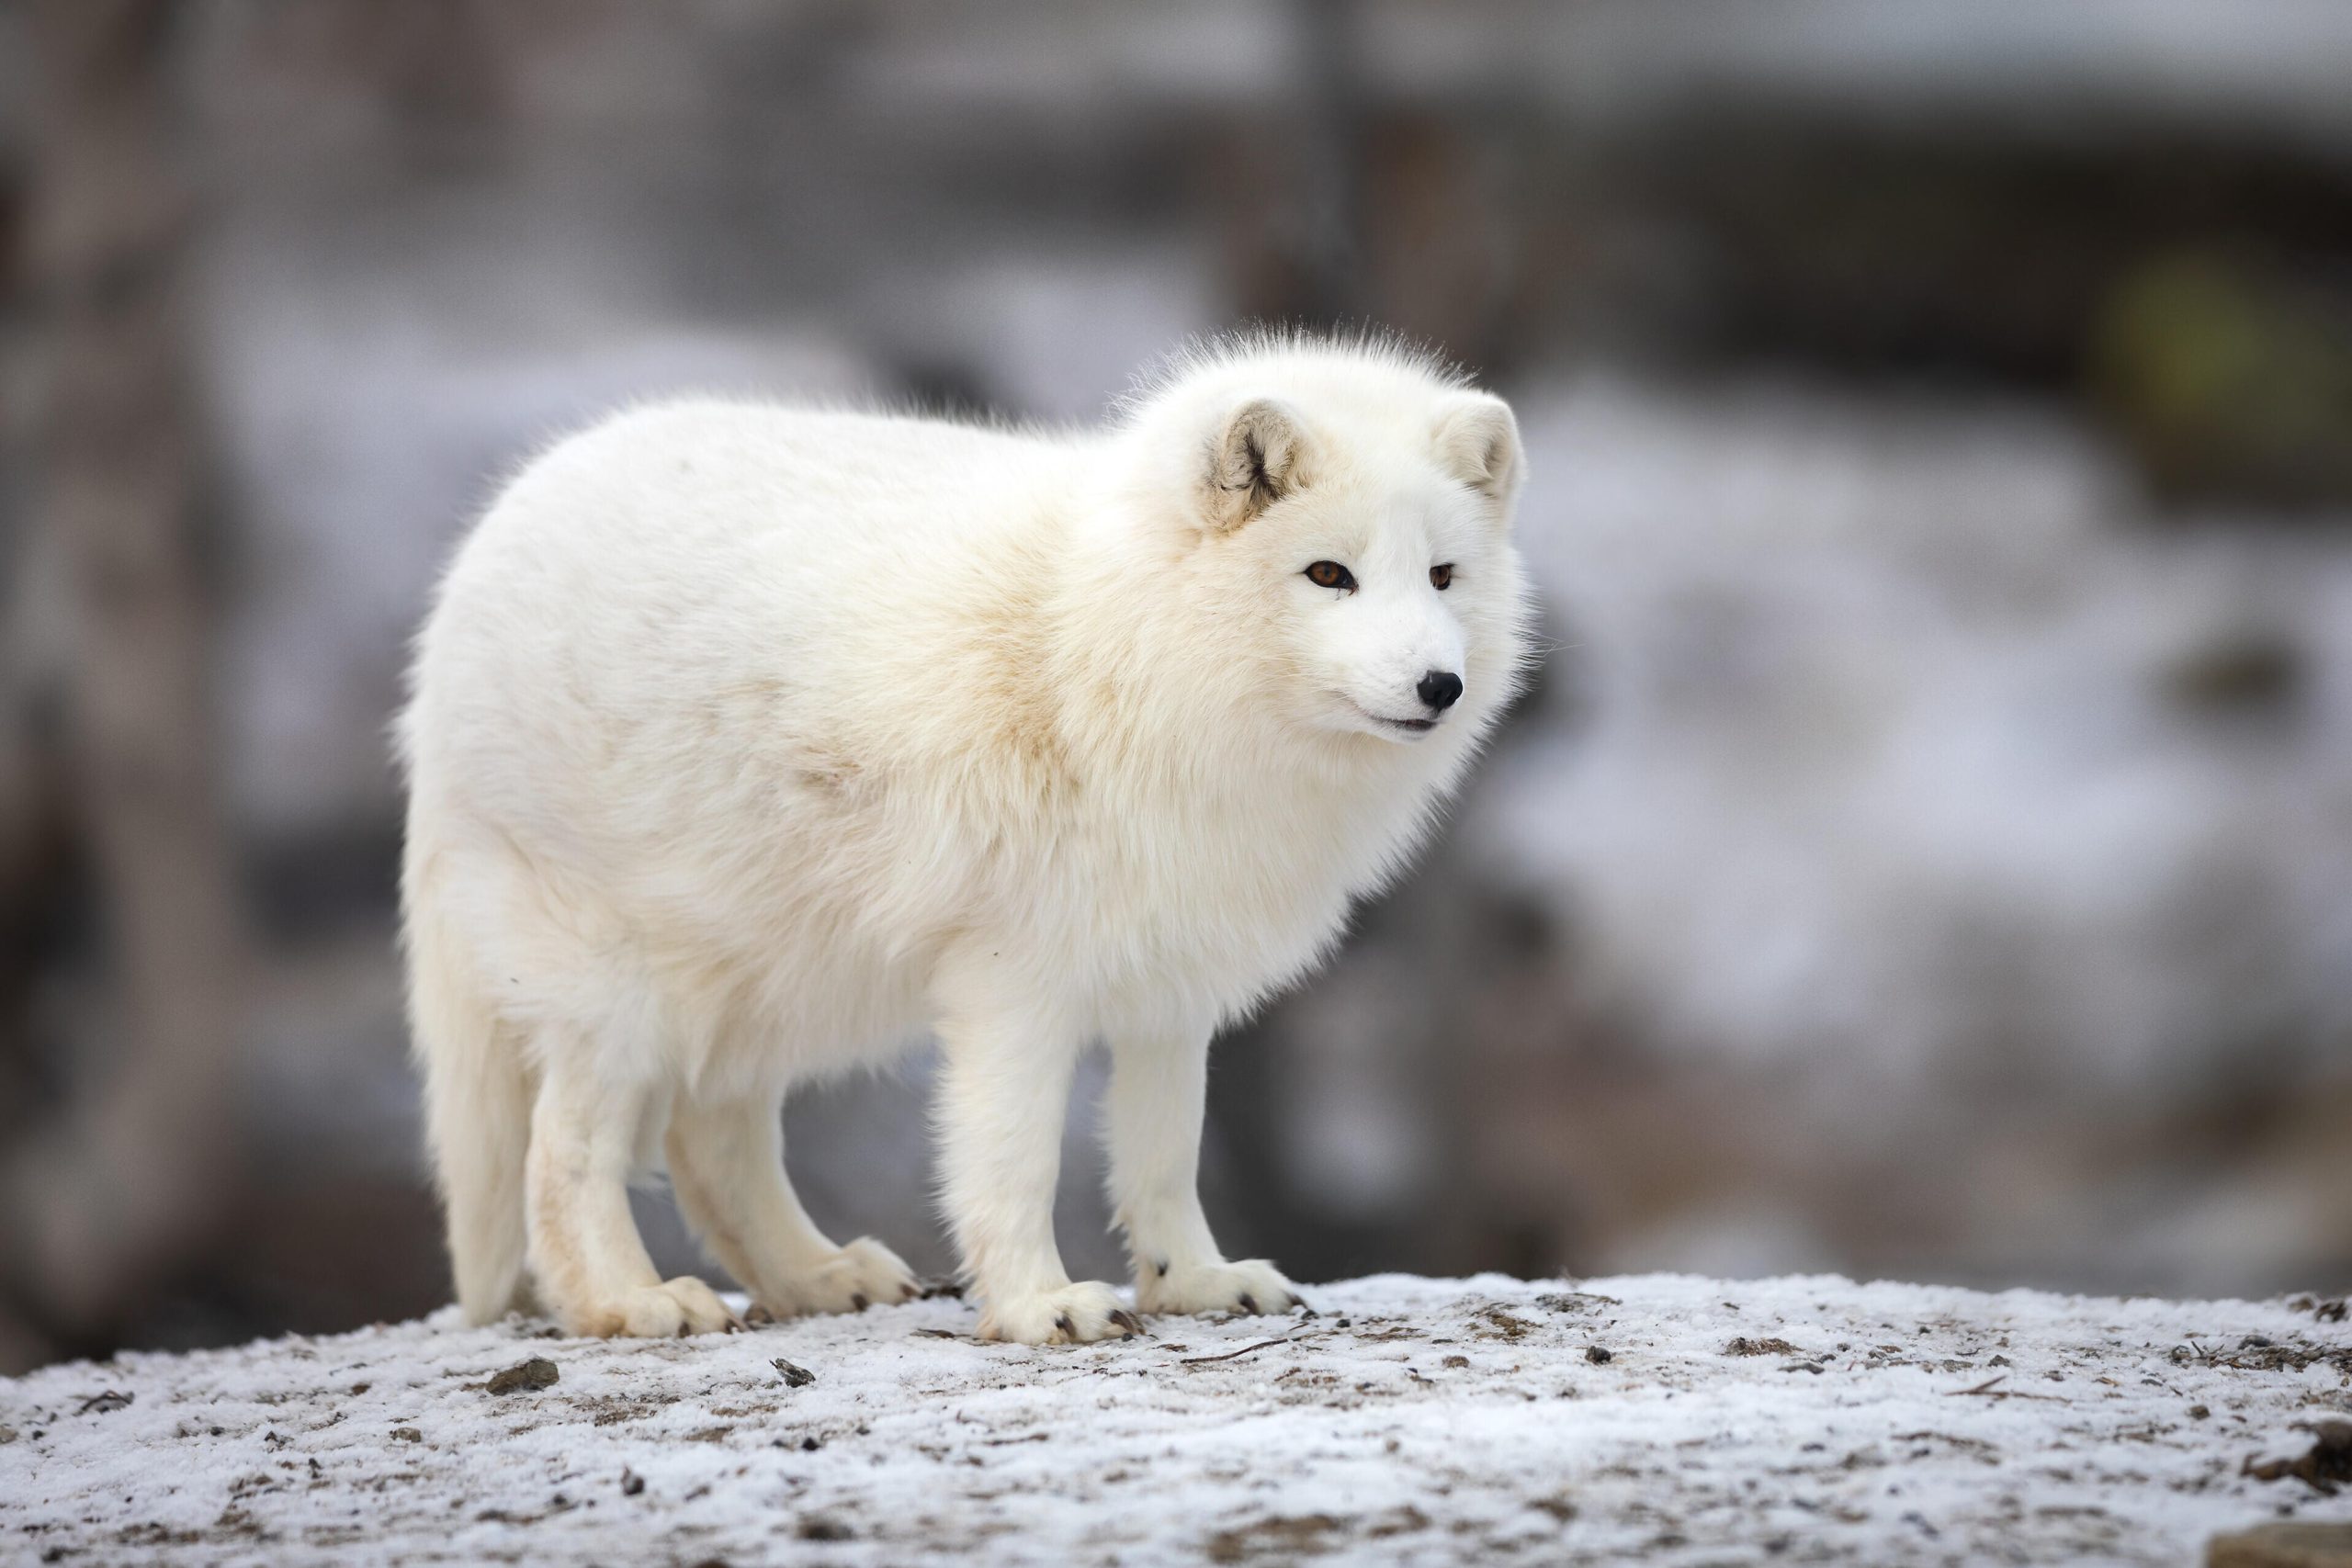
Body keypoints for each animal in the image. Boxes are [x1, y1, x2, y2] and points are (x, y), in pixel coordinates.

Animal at [400, 338, 1543, 1344]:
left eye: (1442, 576)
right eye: (1328, 574)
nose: (1437, 686)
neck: (1102, 656)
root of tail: (476, 559)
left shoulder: (1170, 990)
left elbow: (1163, 1158)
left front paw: (1193, 1282)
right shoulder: (1013, 985)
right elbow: (1013, 1163)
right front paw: (1040, 1305)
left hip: (763, 977)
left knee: (711, 1142)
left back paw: (816, 1277)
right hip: (622, 994)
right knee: (562, 1157)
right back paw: (631, 1302)